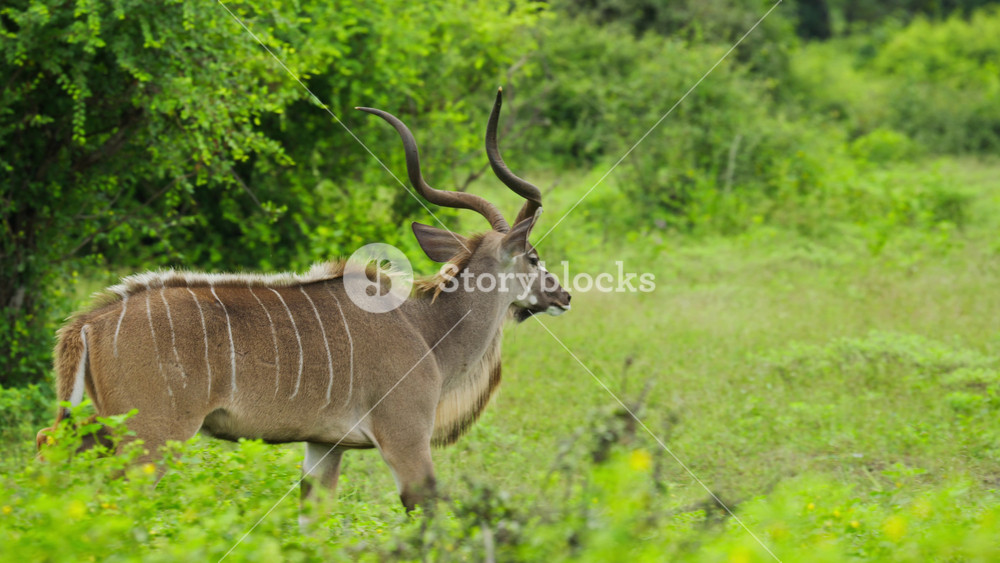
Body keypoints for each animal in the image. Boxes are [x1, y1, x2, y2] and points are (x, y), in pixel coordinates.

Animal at [36, 89, 571, 514]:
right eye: (533, 256)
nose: (562, 294)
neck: (427, 328)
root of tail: (89, 324)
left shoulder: (324, 447)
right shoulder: (406, 438)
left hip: (92, 427)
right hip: (149, 438)